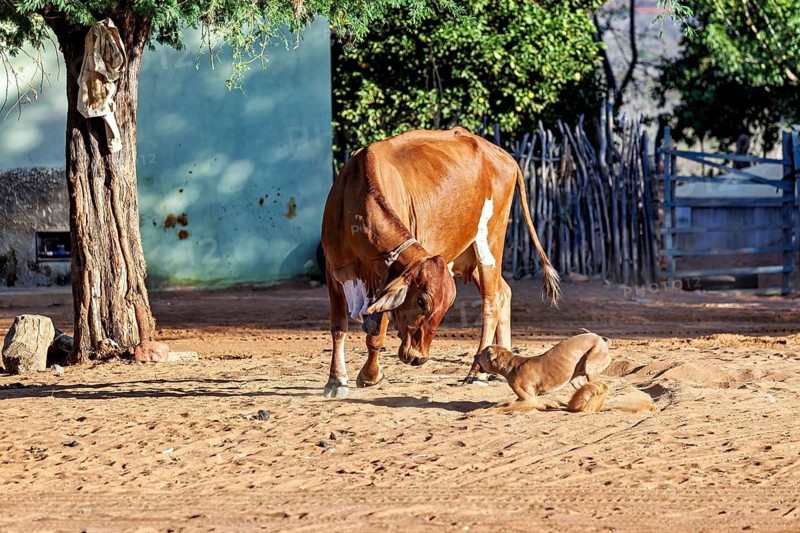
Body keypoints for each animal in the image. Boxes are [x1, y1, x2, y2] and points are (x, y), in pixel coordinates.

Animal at [320, 127, 560, 398]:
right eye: (421, 301)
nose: (419, 358)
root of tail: (505, 157)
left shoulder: (383, 279)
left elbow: (375, 332)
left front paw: (370, 376)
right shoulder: (333, 270)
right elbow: (338, 327)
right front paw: (336, 380)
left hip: (490, 242)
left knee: (491, 303)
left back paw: (476, 372)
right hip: (469, 256)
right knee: (504, 293)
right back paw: (498, 367)